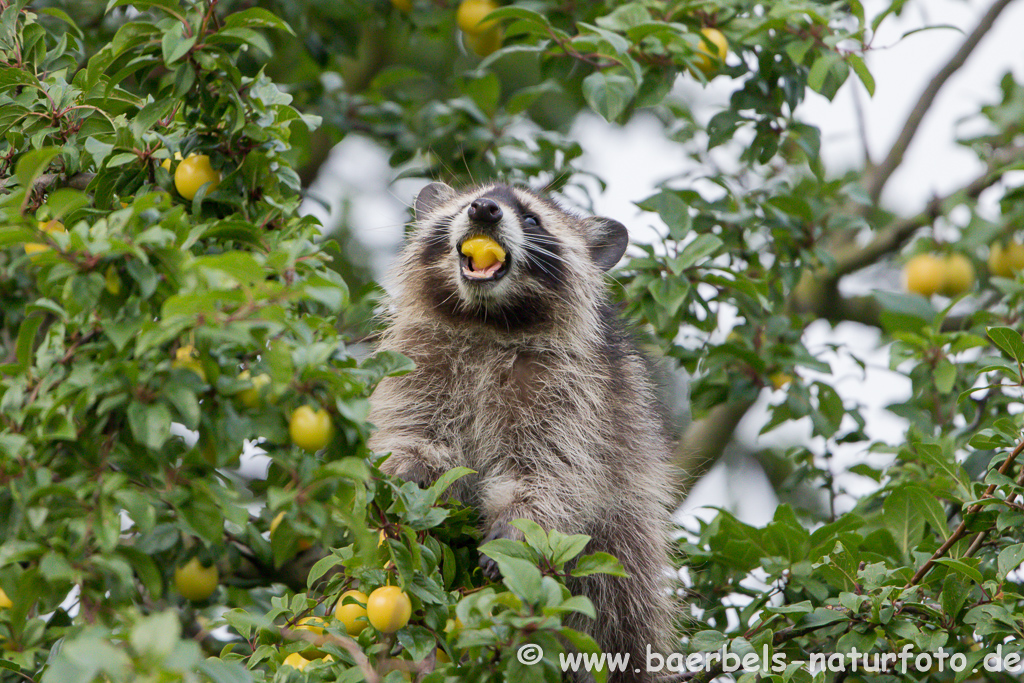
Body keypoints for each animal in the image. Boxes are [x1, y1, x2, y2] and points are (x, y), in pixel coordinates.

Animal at [370, 183, 679, 683]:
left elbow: (554, 471)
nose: (484, 209)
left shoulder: (576, 396)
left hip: (625, 541)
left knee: (620, 601)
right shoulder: (417, 360)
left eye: (532, 219)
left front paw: (518, 524)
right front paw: (408, 464)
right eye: (466, 204)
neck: (487, 320)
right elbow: (413, 427)